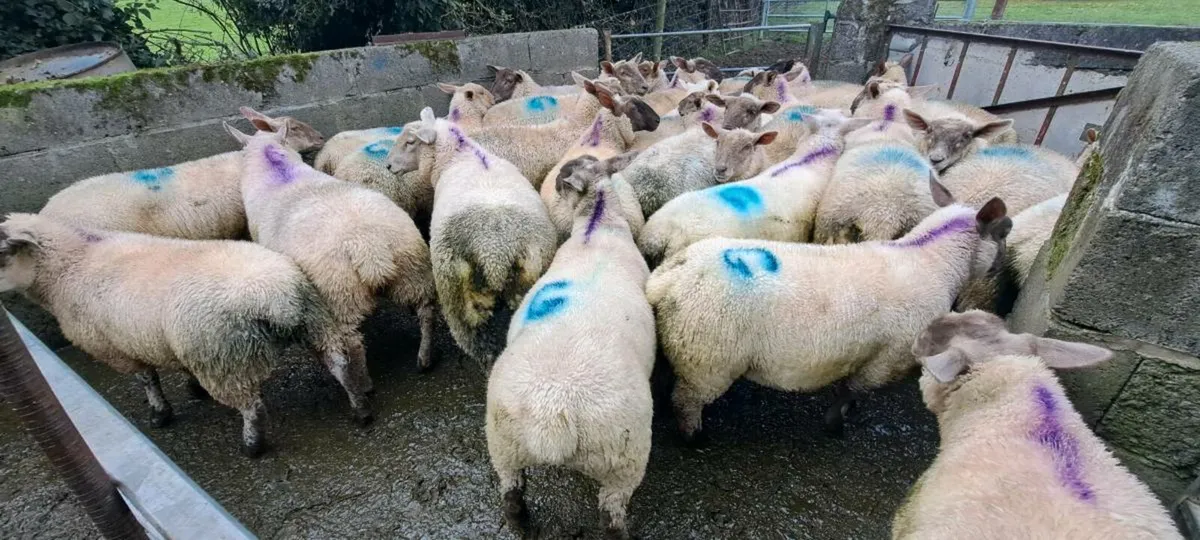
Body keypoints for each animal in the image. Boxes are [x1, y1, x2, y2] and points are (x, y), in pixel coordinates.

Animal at [0, 213, 334, 457]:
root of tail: (276, 299)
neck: (72, 263)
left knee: (252, 408)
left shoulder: (119, 349)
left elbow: (148, 380)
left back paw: (251, 446)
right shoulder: (171, 345)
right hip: (308, 326)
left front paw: (160, 414)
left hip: (223, 359)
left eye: (3, 254)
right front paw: (192, 388)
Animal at [227, 123, 438, 424]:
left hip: (340, 294)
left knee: (352, 344)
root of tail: (367, 245)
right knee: (426, 311)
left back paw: (365, 386)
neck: (277, 170)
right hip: (412, 270)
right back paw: (424, 358)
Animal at [386, 108, 557, 366]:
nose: (388, 166)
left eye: (410, 142)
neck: (461, 155)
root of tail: (495, 253)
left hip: (456, 299)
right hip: (525, 284)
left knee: (482, 349)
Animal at [486, 165, 654, 540]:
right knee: (612, 517)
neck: (596, 228)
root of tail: (552, 421)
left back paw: (523, 528)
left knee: (511, 496)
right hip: (623, 460)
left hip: (504, 446)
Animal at [645, 178, 1012, 440]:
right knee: (686, 403)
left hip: (681, 344)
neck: (931, 259)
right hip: (708, 361)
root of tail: (668, 275)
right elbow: (849, 391)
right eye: (1003, 232)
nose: (1002, 269)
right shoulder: (886, 359)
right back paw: (694, 437)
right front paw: (836, 424)